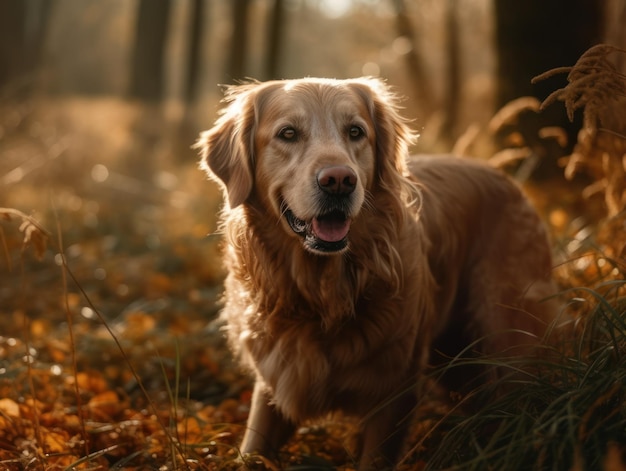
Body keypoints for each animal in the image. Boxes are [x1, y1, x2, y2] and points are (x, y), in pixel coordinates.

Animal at [197, 76, 552, 468]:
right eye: (287, 133)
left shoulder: (394, 394)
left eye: (356, 131)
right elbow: (253, 447)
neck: (321, 296)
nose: (339, 180)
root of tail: (511, 182)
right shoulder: (274, 381)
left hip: (507, 336)